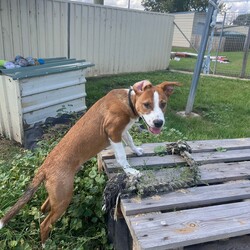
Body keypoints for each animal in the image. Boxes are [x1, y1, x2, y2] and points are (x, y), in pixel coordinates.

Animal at [0, 79, 180, 244]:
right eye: (146, 104)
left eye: (163, 104)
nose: (159, 123)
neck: (128, 101)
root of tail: (44, 168)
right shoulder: (113, 131)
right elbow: (121, 155)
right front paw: (129, 170)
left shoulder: (122, 132)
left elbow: (130, 141)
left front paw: (137, 151)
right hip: (64, 196)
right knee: (45, 224)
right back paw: (46, 244)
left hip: (58, 194)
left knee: (44, 208)